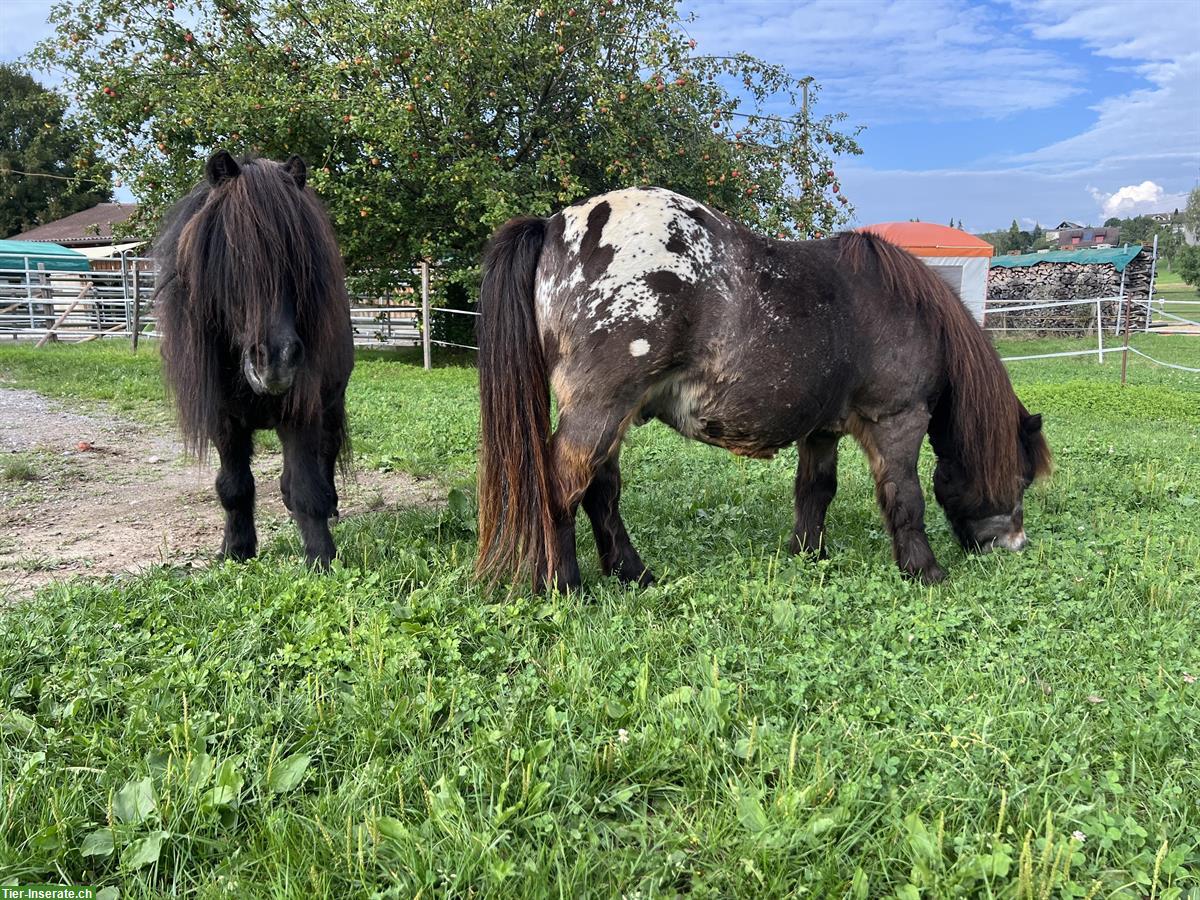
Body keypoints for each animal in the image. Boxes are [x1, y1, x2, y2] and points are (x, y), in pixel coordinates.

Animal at [153, 151, 355, 566]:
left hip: (331, 403)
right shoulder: (222, 419)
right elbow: (234, 486)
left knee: (325, 454)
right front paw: (237, 549)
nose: (276, 360)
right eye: (232, 256)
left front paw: (321, 557)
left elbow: (308, 487)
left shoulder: (302, 411)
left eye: (299, 258)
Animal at [477, 188, 1051, 592]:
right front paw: (925, 571)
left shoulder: (822, 430)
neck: (908, 312)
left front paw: (809, 553)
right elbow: (905, 497)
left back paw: (633, 574)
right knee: (561, 488)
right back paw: (563, 584)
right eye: (1022, 478)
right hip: (598, 410)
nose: (1016, 544)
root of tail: (555, 226)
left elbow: (815, 491)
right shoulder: (897, 420)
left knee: (601, 492)